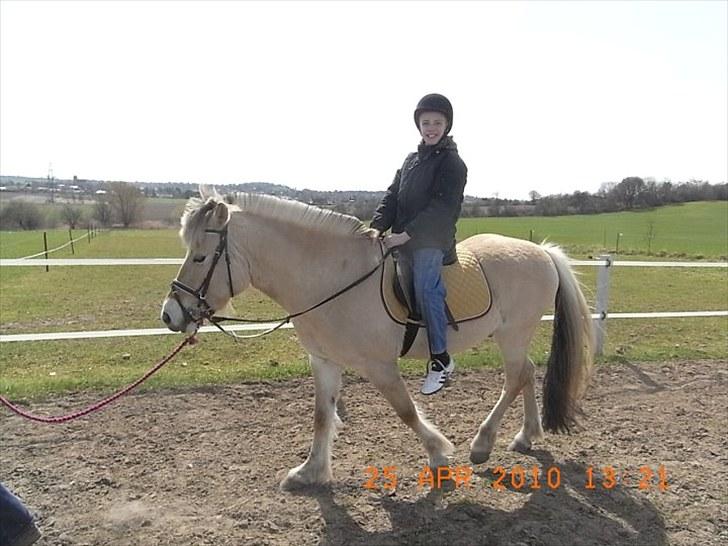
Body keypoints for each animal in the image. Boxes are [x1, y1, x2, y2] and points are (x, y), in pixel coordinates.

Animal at [159, 187, 592, 488]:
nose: (170, 314)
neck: (333, 279)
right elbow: (321, 416)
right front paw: (310, 472)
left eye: (200, 256)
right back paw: (525, 436)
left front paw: (439, 455)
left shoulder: (379, 366)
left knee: (515, 377)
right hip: (514, 335)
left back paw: (482, 445)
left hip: (512, 333)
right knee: (527, 373)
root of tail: (541, 251)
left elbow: (406, 410)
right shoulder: (324, 361)